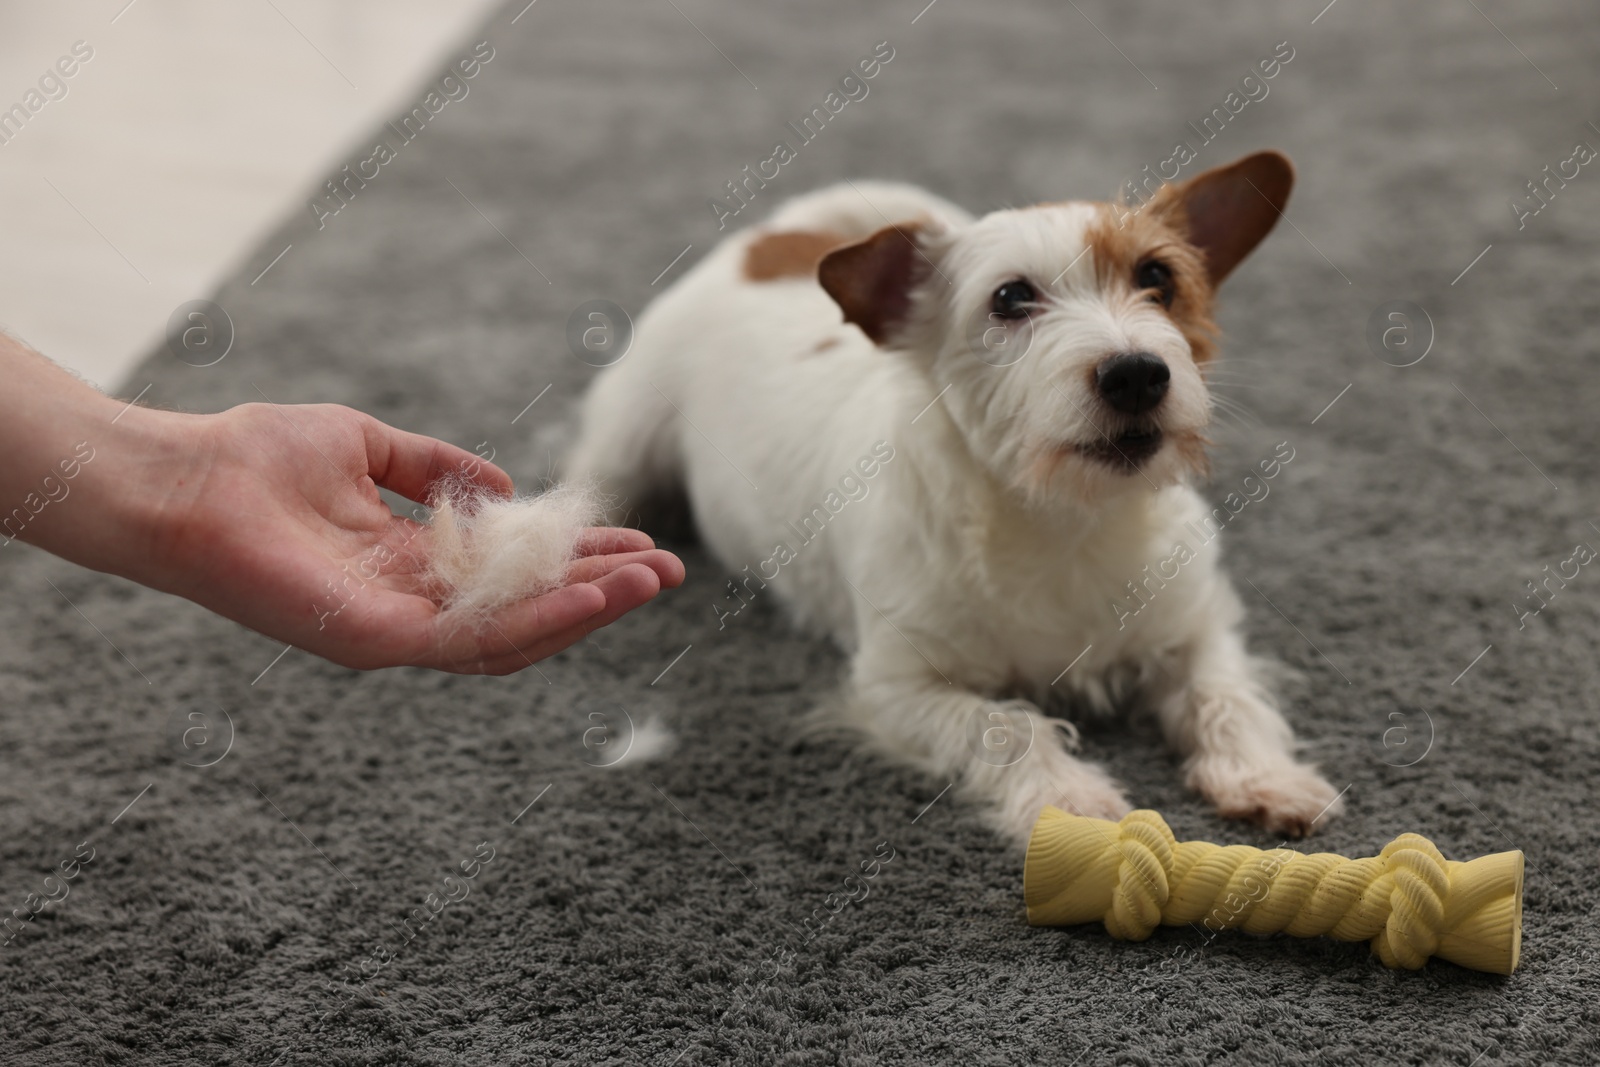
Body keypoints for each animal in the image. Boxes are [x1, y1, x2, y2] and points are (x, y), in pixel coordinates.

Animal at [569, 150, 1344, 844]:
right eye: (1010, 298)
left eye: (1158, 275)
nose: (1135, 374)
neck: (1065, 520)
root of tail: (770, 243)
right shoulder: (898, 686)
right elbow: (1006, 724)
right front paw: (1069, 798)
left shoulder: (1200, 630)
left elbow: (1227, 696)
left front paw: (1265, 776)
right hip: (623, 450)